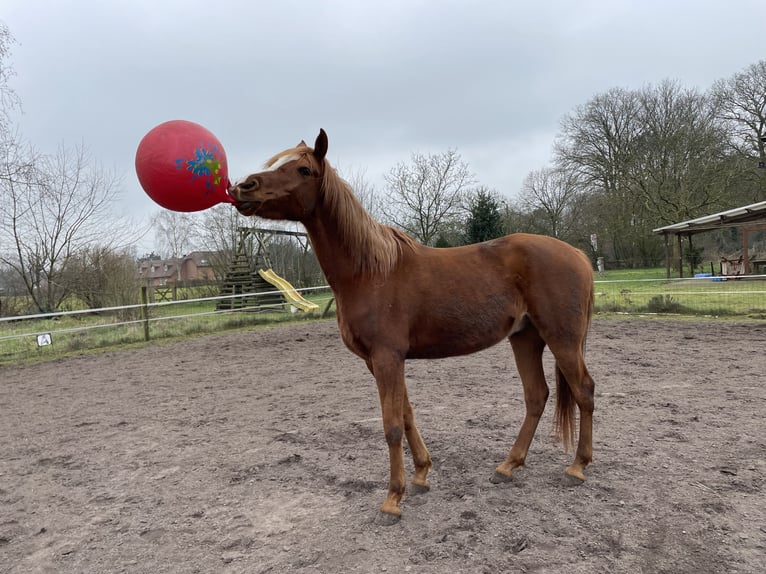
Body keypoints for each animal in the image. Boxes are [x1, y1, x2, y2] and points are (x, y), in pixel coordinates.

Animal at [229, 129, 595, 524]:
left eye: (303, 169)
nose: (243, 187)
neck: (371, 271)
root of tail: (578, 255)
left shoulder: (387, 358)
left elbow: (391, 426)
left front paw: (392, 499)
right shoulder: (379, 361)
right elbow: (406, 416)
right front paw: (421, 474)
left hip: (561, 339)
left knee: (583, 391)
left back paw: (577, 467)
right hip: (525, 338)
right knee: (536, 396)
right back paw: (508, 466)